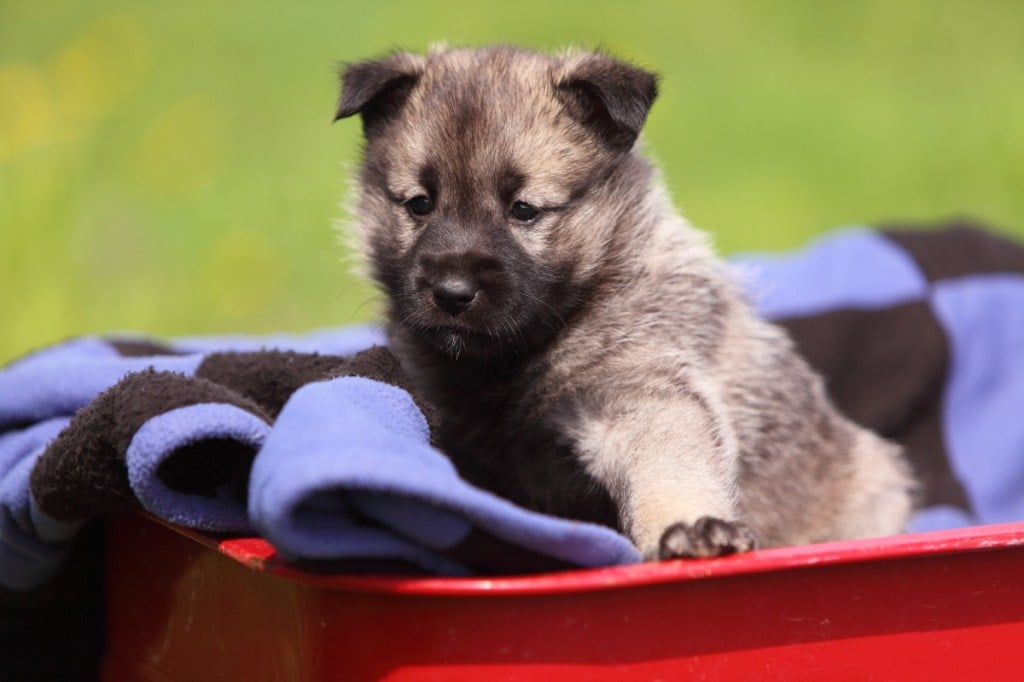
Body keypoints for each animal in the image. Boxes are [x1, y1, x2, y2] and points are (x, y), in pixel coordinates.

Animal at [333, 46, 913, 557]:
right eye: (419, 204)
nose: (451, 292)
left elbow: (670, 467)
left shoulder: (639, 393)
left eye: (524, 210)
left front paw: (691, 528)